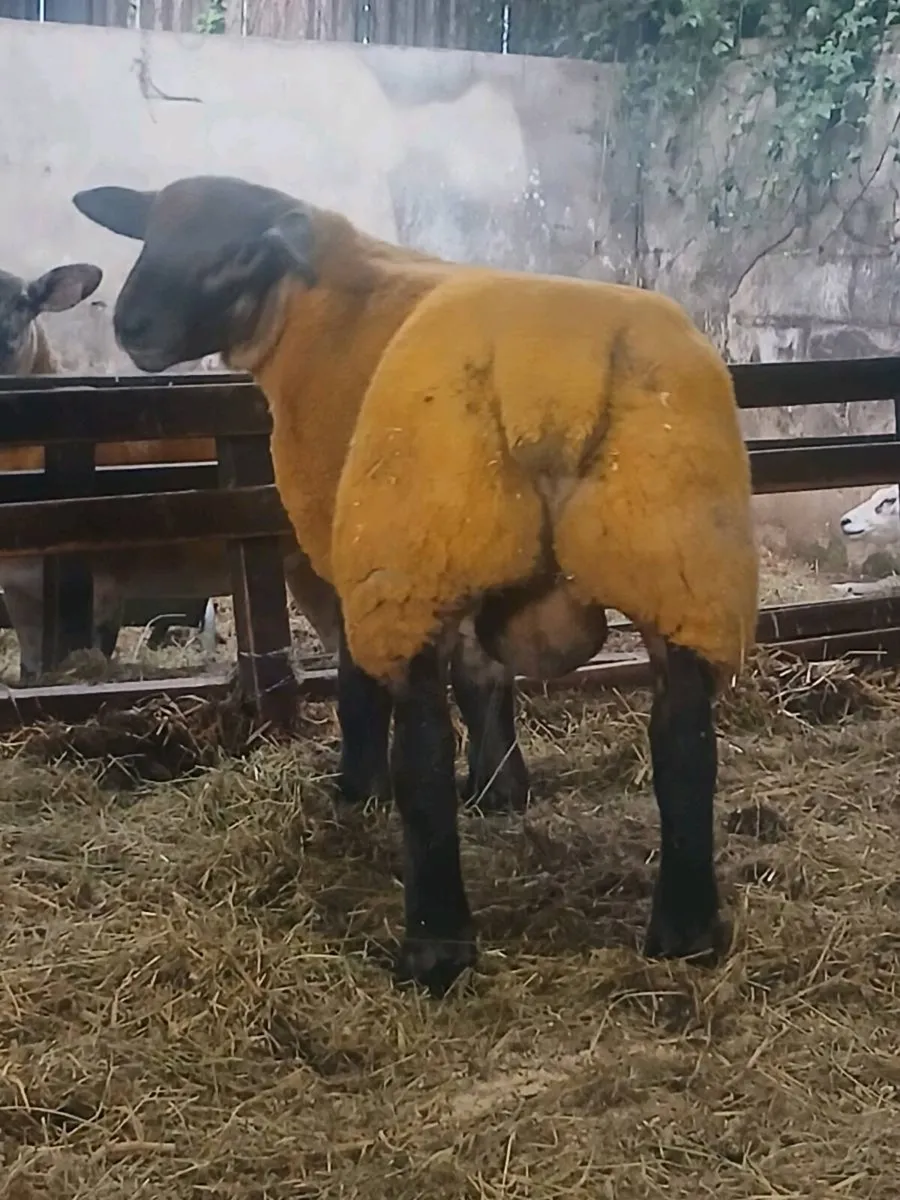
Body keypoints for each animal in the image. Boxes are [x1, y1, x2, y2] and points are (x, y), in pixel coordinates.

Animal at [72, 174, 759, 996]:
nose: (133, 326)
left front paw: (357, 789)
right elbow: (486, 678)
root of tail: (552, 373)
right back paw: (685, 933)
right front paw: (501, 792)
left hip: (412, 554)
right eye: (152, 232)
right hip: (679, 563)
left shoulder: (340, 550)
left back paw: (435, 946)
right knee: (684, 740)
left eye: (237, 253)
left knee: (422, 747)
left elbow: (357, 685)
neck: (314, 307)